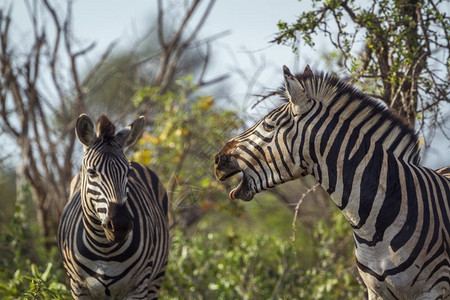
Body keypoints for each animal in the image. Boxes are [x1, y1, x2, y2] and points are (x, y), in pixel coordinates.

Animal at [56, 113, 169, 298]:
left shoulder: (138, 288)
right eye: (91, 172)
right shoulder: (78, 288)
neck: (104, 248)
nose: (120, 225)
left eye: (128, 172)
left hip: (156, 279)